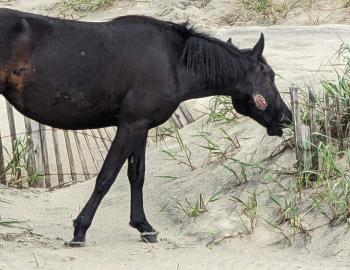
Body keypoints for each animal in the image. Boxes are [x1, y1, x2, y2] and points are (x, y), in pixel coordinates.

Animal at [0, 8, 292, 246]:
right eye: (270, 75)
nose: (287, 117)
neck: (172, 61)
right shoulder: (131, 126)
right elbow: (106, 177)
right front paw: (80, 230)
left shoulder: (141, 127)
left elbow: (136, 175)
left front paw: (143, 226)